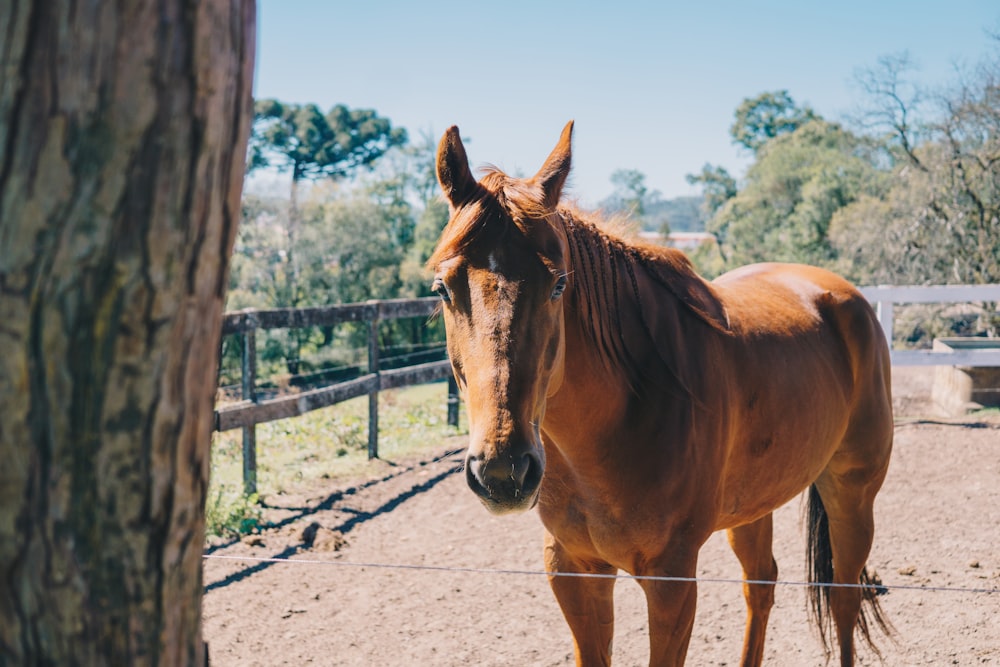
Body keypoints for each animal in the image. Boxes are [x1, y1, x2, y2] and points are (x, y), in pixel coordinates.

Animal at [428, 122, 892, 664]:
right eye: (442, 288)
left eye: (559, 284)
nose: (503, 472)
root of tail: (846, 297)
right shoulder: (572, 570)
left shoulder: (671, 580)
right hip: (754, 506)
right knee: (761, 584)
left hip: (852, 492)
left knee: (843, 596)